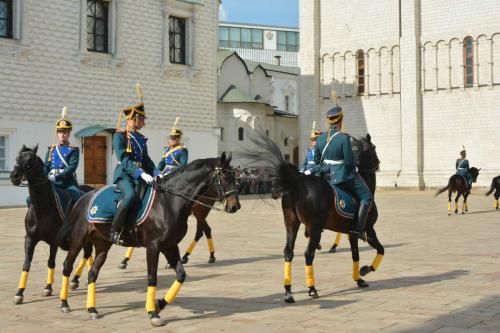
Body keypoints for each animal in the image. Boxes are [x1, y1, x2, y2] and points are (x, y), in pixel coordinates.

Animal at [9, 144, 93, 302]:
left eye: (30, 160)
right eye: (17, 158)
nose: (14, 176)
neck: (42, 209)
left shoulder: (54, 241)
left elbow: (51, 262)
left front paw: (48, 287)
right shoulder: (30, 239)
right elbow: (26, 264)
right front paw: (19, 293)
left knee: (87, 253)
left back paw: (75, 279)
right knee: (88, 254)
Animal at [56, 152, 240, 326]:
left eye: (235, 178)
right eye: (225, 177)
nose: (235, 206)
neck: (169, 202)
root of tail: (83, 197)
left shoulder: (170, 246)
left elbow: (181, 275)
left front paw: (159, 304)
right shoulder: (153, 246)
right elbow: (152, 277)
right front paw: (153, 313)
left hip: (103, 245)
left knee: (93, 273)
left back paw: (92, 309)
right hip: (78, 239)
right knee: (67, 266)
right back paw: (64, 303)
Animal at [246, 132, 382, 300]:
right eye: (373, 148)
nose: (379, 163)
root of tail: (296, 181)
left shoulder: (352, 233)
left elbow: (355, 255)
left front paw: (359, 279)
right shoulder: (369, 229)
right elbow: (380, 250)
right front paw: (365, 270)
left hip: (291, 224)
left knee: (288, 253)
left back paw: (288, 292)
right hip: (316, 228)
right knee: (308, 254)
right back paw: (312, 288)